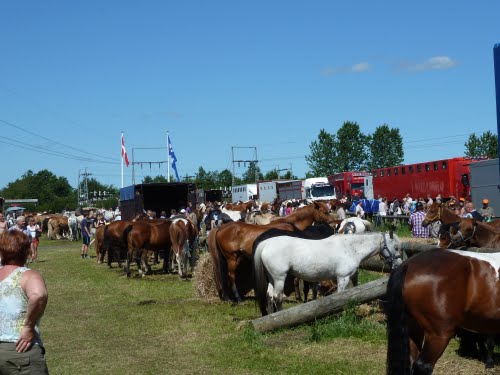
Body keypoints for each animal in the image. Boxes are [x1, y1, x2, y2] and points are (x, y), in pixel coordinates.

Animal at [254, 232, 402, 318]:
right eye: (396, 247)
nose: (398, 265)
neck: (350, 248)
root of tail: (266, 243)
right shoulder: (342, 277)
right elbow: (340, 297)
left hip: (272, 278)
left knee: (269, 295)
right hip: (280, 278)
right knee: (277, 297)